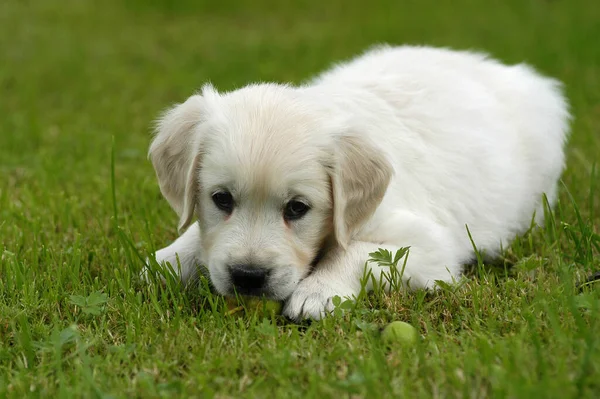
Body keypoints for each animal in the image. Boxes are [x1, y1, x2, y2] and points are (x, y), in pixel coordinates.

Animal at [148, 46, 568, 322]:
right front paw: (166, 262)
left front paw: (317, 292)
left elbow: (358, 252)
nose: (248, 277)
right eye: (221, 199)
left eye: (297, 208)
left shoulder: (432, 246)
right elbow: (196, 239)